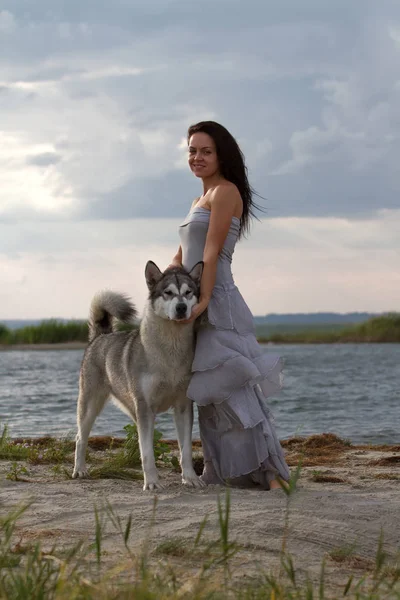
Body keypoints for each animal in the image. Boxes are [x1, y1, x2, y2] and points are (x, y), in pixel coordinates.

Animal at [72, 260, 205, 490]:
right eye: (168, 292)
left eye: (188, 293)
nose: (181, 308)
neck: (170, 352)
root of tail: (100, 336)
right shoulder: (145, 408)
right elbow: (147, 453)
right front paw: (151, 482)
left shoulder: (183, 406)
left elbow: (186, 451)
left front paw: (190, 478)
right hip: (90, 406)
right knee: (81, 438)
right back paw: (80, 469)